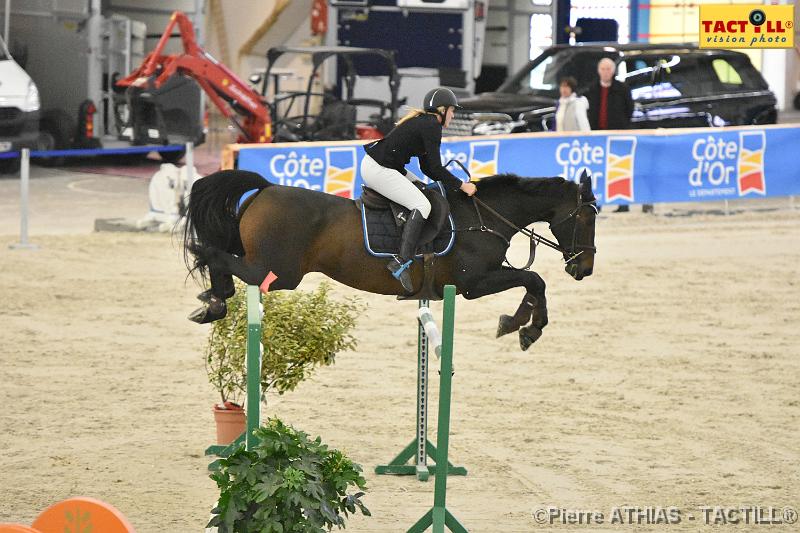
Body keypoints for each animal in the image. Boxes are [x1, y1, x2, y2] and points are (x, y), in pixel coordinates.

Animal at [181, 167, 592, 350]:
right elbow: (534, 279)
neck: (483, 216)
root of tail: (264, 189)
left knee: (224, 263)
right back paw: (212, 300)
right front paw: (523, 327)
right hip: (278, 272)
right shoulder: (473, 283)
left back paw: (212, 302)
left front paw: (522, 325)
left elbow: (534, 282)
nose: (584, 269)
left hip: (269, 266)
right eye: (587, 217)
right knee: (216, 256)